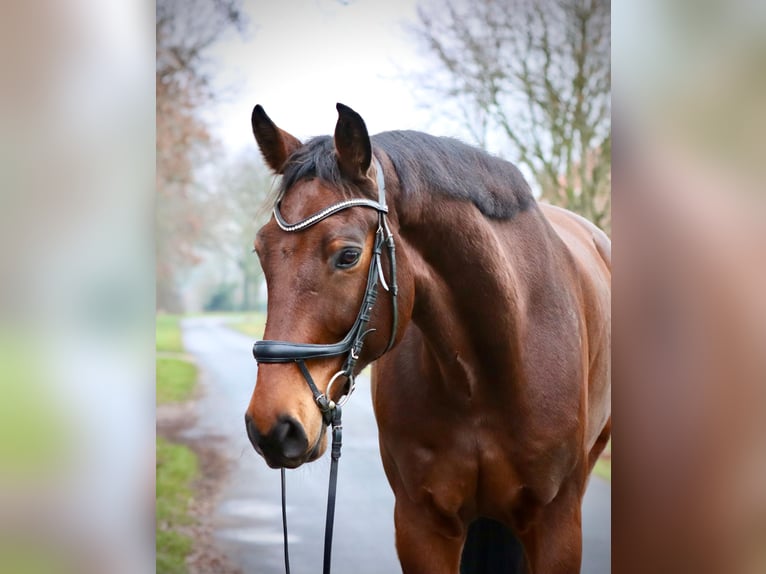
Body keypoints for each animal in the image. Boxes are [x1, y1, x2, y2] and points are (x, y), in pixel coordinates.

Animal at [246, 103, 612, 574]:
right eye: (261, 251)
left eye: (348, 255)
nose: (271, 427)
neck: (481, 379)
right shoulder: (422, 525)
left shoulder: (557, 526)